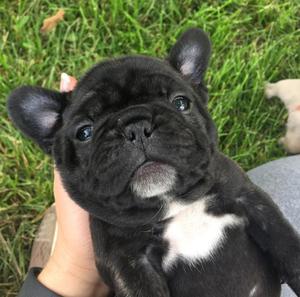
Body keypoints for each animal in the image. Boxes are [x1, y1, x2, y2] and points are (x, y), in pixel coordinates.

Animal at [6, 28, 300, 296]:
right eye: (84, 132)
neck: (176, 205)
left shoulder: (249, 198)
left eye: (180, 103)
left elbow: (287, 246)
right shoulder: (128, 263)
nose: (136, 127)